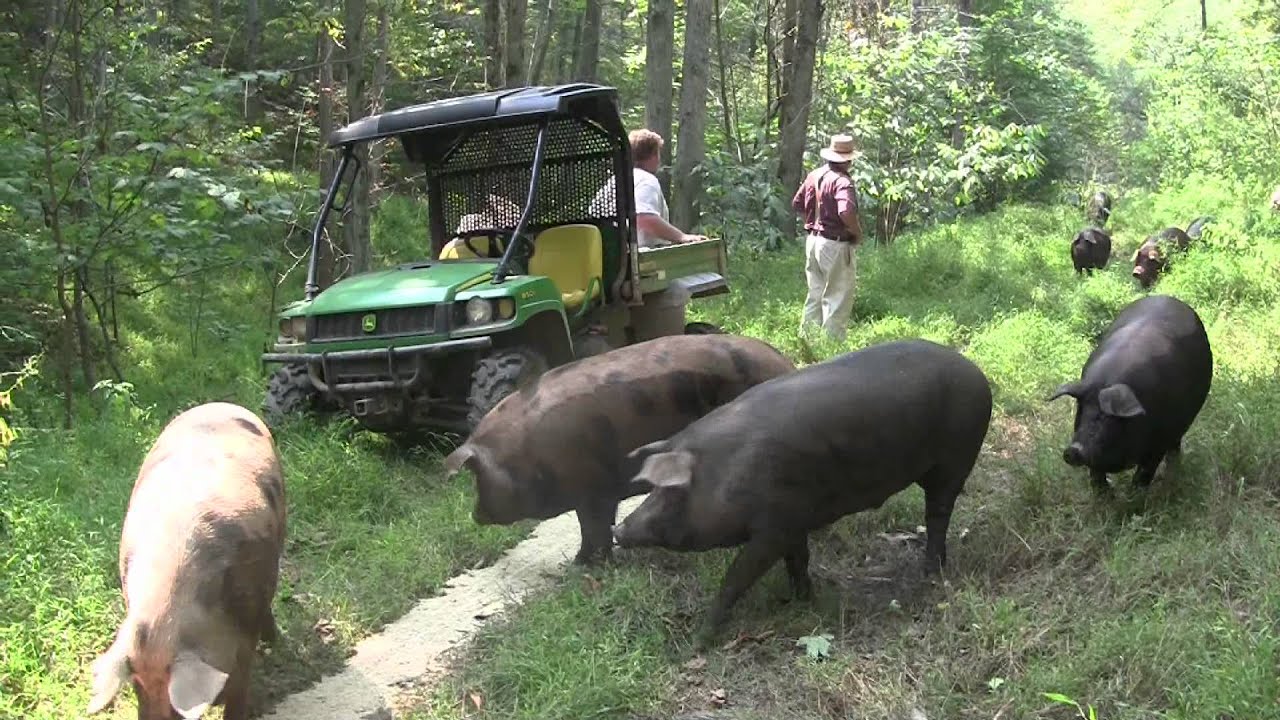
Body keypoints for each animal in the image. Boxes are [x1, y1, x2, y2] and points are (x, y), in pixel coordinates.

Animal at [87, 402, 287, 720]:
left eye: (172, 702)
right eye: (137, 687)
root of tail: (218, 404)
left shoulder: (247, 620)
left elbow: (241, 682)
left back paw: (274, 639)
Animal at [444, 334, 797, 565]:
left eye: (477, 477)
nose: (475, 515)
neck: (523, 455)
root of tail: (784, 363)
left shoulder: (591, 489)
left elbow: (593, 527)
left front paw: (580, 565)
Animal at [611, 339, 993, 646]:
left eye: (670, 495)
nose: (618, 530)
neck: (725, 472)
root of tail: (977, 372)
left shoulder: (772, 528)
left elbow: (736, 578)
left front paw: (699, 641)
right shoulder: (793, 521)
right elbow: (798, 560)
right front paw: (801, 601)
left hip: (957, 457)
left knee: (939, 512)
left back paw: (930, 573)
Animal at [1048, 294, 1212, 493]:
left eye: (1105, 417)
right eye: (1081, 412)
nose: (1072, 450)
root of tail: (1168, 297)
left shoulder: (1159, 442)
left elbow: (1144, 474)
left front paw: (1135, 496)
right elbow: (1096, 473)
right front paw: (1105, 495)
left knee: (1175, 445)